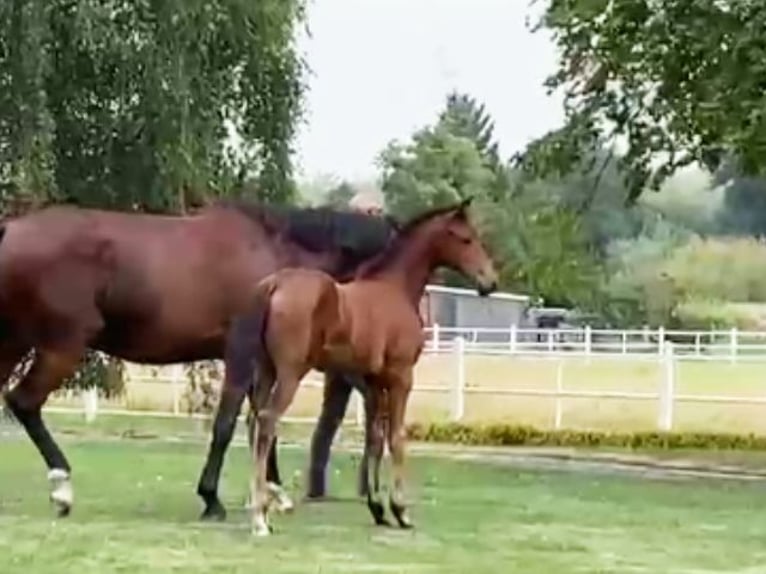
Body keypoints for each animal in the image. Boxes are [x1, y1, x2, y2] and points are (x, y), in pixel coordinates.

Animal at [0, 200, 396, 520]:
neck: (273, 256)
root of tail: (12, 231)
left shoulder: (259, 363)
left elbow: (261, 421)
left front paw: (273, 492)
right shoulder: (240, 353)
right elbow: (227, 424)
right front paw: (212, 499)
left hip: (15, 343)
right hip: (60, 347)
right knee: (24, 402)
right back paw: (62, 489)